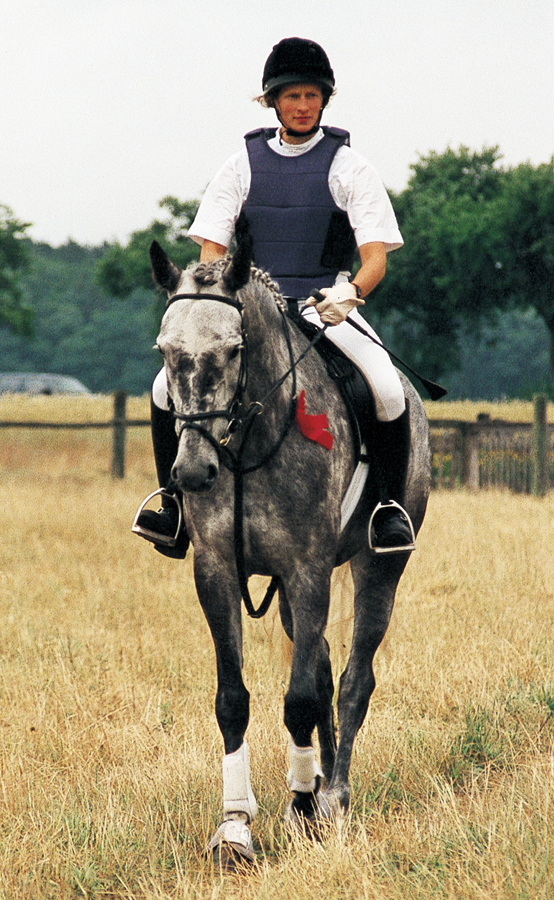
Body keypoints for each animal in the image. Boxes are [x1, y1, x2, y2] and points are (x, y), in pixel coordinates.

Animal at [144, 236, 430, 868]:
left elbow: (298, 700)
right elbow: (233, 699)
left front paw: (301, 813)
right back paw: (319, 785)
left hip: (379, 568)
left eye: (233, 350)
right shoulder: (217, 571)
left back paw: (335, 798)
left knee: (353, 680)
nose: (192, 473)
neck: (247, 444)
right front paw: (235, 829)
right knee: (322, 669)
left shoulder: (307, 569)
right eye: (166, 351)